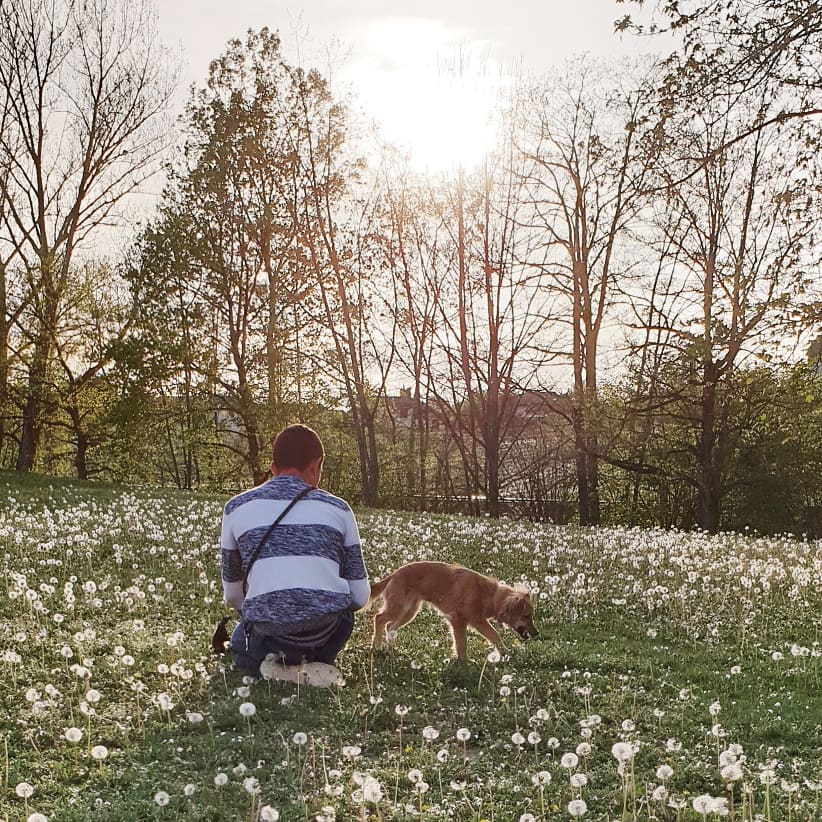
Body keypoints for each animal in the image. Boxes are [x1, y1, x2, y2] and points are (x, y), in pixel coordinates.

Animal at [368, 560, 536, 664]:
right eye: (527, 616)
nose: (537, 634)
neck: (487, 594)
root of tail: (394, 573)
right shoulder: (459, 620)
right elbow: (462, 643)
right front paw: (464, 662)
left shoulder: (478, 621)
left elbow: (495, 637)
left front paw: (506, 654)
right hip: (398, 607)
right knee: (379, 618)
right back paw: (376, 646)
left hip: (409, 611)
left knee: (390, 627)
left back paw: (392, 649)